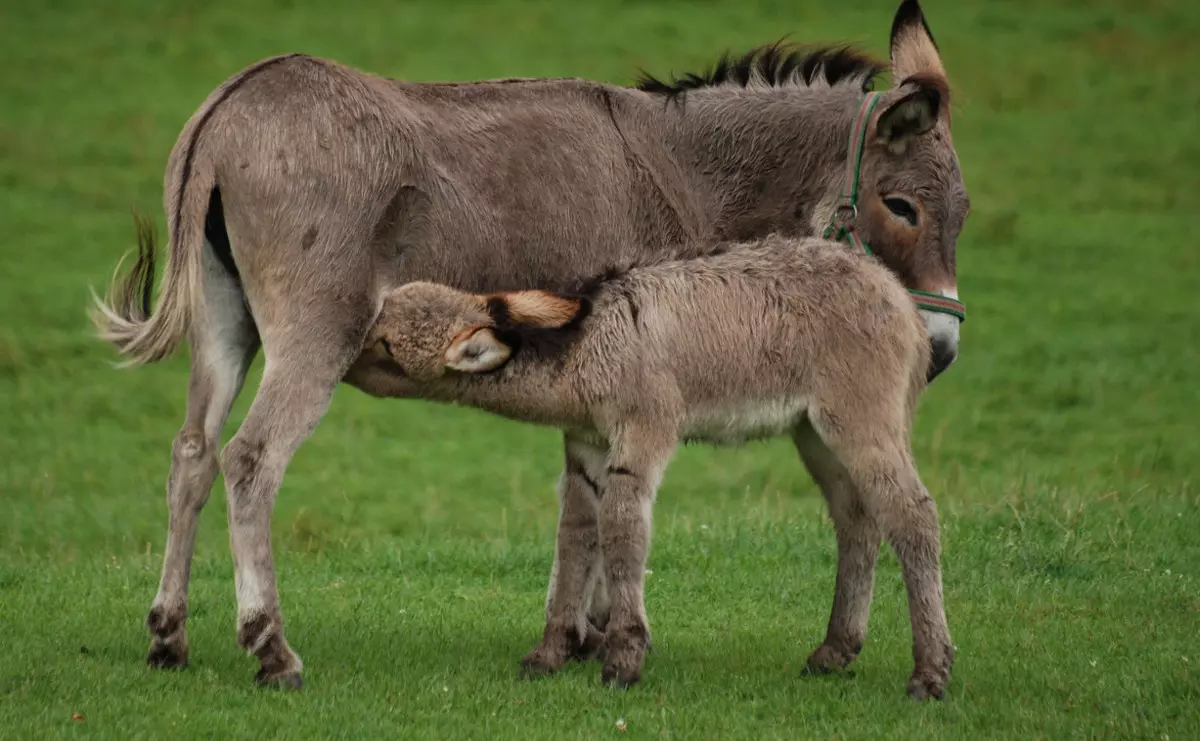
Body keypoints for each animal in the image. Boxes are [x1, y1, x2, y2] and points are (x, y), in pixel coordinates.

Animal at [350, 233, 955, 695]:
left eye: (385, 345)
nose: (342, 356)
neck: (589, 346)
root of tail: (897, 294)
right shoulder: (587, 446)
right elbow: (576, 535)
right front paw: (550, 653)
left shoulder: (642, 432)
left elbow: (622, 531)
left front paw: (624, 659)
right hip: (816, 434)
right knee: (858, 521)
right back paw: (835, 650)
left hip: (861, 419)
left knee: (912, 518)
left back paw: (930, 672)